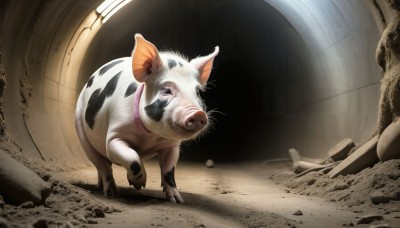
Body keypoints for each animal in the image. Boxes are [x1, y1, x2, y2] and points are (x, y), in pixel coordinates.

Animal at [75, 34, 219, 203]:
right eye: (167, 90)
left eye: (197, 92)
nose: (197, 114)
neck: (148, 137)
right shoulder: (113, 138)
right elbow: (133, 158)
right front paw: (139, 185)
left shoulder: (172, 146)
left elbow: (169, 171)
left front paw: (177, 200)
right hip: (80, 128)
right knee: (102, 166)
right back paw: (111, 193)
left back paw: (100, 187)